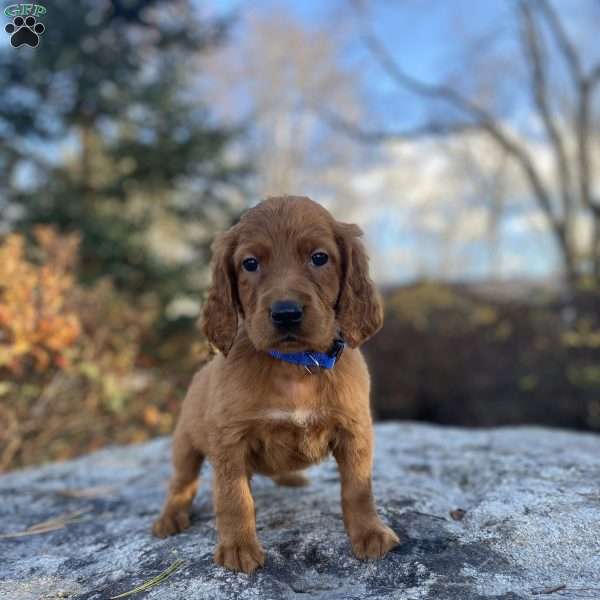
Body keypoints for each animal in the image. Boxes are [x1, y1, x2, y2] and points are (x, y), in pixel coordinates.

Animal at [152, 196, 400, 572]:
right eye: (250, 263)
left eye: (319, 257)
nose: (286, 313)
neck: (294, 365)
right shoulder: (229, 440)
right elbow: (235, 497)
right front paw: (238, 546)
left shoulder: (355, 430)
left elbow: (358, 489)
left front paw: (370, 532)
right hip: (185, 442)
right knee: (182, 481)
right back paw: (170, 517)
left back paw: (290, 476)